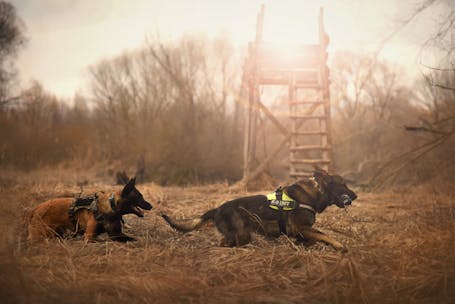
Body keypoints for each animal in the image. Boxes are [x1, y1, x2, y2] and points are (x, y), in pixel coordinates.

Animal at [162, 169, 358, 249]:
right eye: (343, 185)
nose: (355, 196)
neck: (317, 192)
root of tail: (217, 209)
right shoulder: (300, 228)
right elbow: (324, 235)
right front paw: (339, 246)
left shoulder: (301, 231)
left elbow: (314, 238)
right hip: (241, 235)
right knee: (223, 244)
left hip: (242, 236)